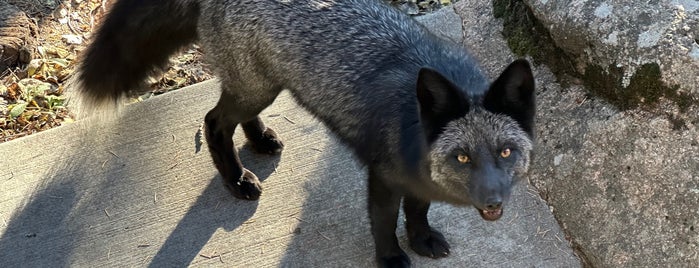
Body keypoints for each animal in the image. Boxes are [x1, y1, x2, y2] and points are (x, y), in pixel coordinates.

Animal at [74, 0, 536, 266]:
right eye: (463, 157)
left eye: (506, 152)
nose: (493, 201)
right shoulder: (384, 177)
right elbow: (385, 223)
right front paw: (390, 259)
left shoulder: (417, 175)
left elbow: (419, 210)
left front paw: (421, 238)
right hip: (255, 90)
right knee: (213, 121)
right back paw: (237, 179)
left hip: (263, 86)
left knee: (232, 117)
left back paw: (260, 141)